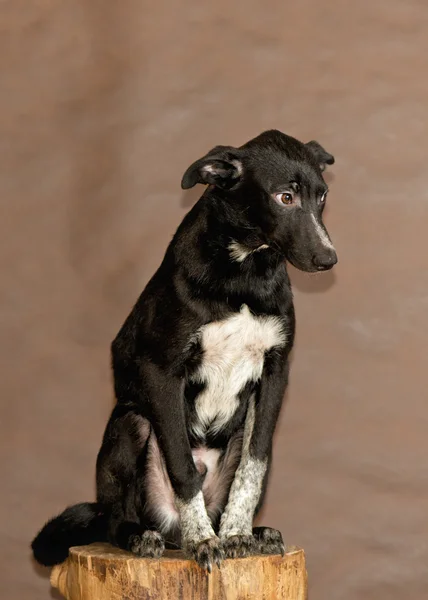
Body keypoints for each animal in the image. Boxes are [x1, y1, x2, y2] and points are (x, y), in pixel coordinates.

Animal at [31, 127, 336, 572]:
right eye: (285, 197)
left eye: (322, 196)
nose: (329, 258)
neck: (244, 272)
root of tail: (167, 530)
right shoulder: (162, 372)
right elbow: (182, 467)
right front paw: (203, 541)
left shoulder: (276, 371)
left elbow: (254, 464)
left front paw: (236, 534)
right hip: (129, 424)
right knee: (116, 519)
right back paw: (146, 536)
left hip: (235, 430)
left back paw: (251, 531)